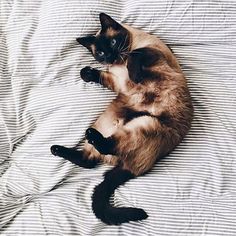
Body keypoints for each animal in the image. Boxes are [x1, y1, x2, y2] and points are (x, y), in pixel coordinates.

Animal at [50, 12, 193, 225]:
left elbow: (136, 55)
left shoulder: (152, 52)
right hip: (107, 121)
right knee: (89, 160)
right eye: (100, 53)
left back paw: (88, 136)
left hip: (144, 123)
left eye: (113, 42)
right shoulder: (117, 82)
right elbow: (102, 76)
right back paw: (58, 148)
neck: (120, 63)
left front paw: (133, 72)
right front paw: (86, 73)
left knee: (99, 153)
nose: (110, 56)